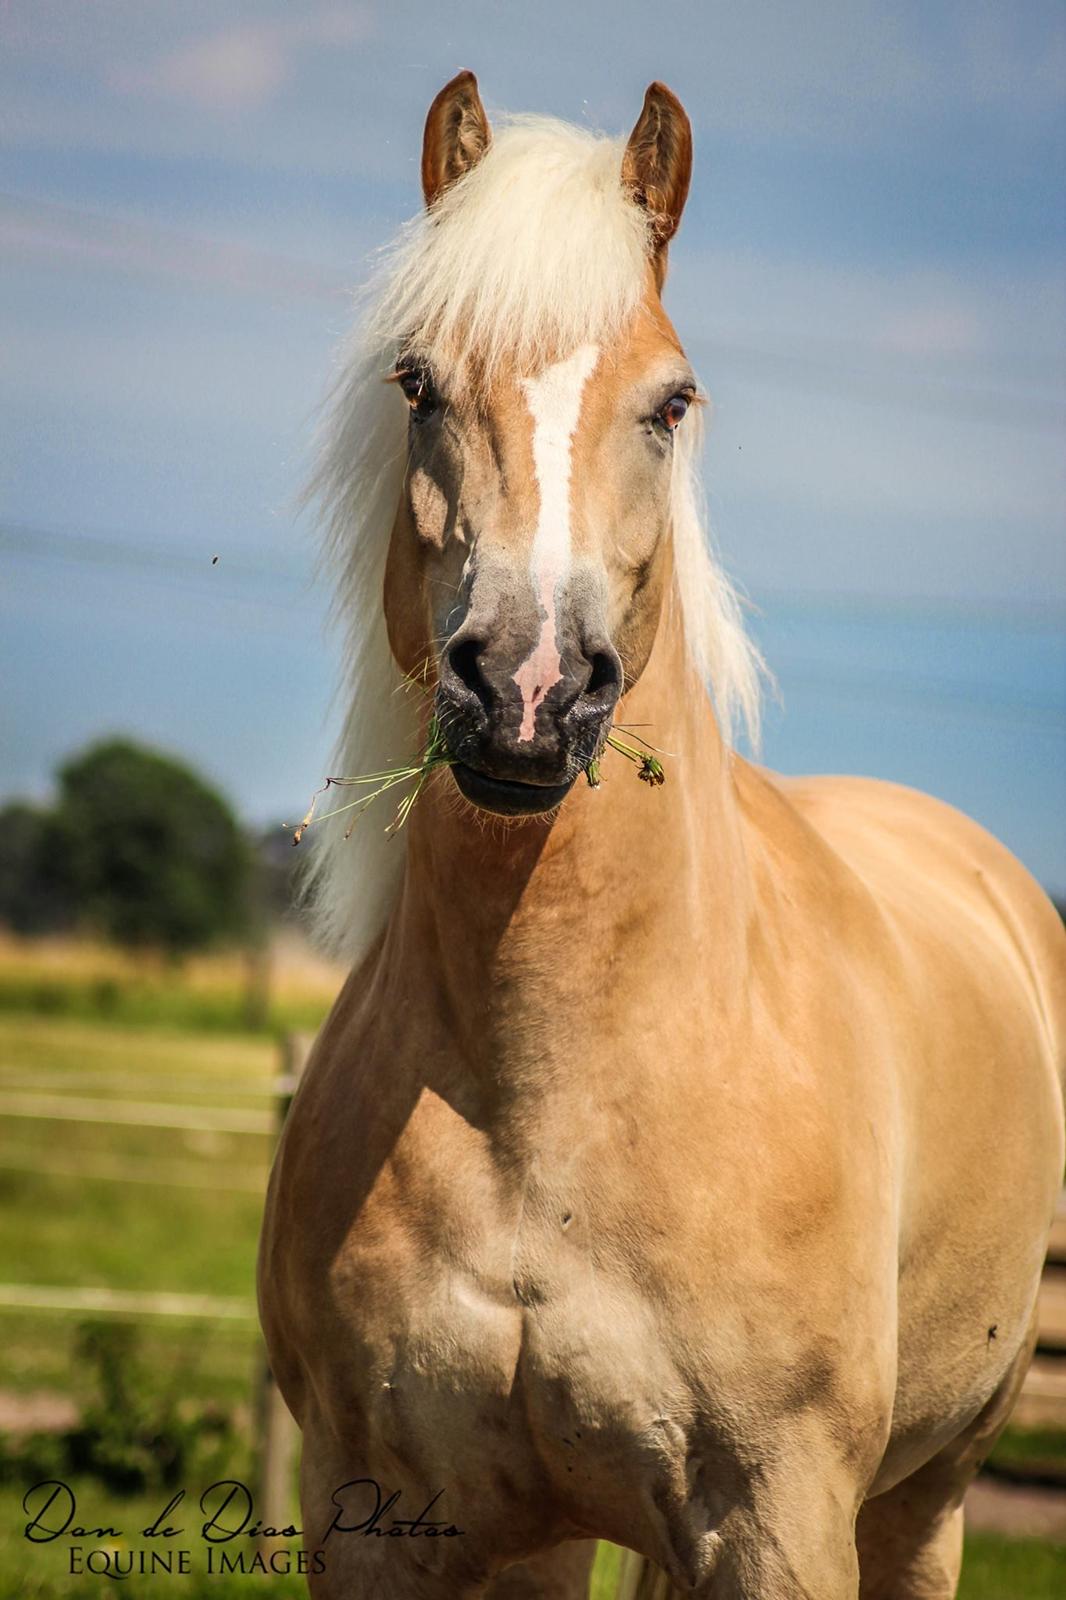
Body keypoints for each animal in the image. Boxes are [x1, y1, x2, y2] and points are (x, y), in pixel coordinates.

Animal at [259, 68, 1062, 1593]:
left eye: (670, 402)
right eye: (416, 384)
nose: (525, 690)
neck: (547, 1087)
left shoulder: (778, 1517)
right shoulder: (384, 1516)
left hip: (930, 1489)